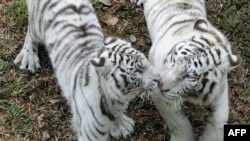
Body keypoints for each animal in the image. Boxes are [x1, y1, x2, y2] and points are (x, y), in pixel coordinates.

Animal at [14, 0, 160, 140]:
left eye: (147, 61)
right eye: (137, 72)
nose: (159, 79)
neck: (118, 98)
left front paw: (122, 125)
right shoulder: (90, 133)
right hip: (37, 25)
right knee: (31, 30)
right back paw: (28, 57)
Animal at [131, 0, 240, 141]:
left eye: (188, 76)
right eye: (173, 60)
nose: (160, 84)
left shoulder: (219, 94)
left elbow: (218, 124)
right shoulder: (161, 97)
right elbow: (178, 124)